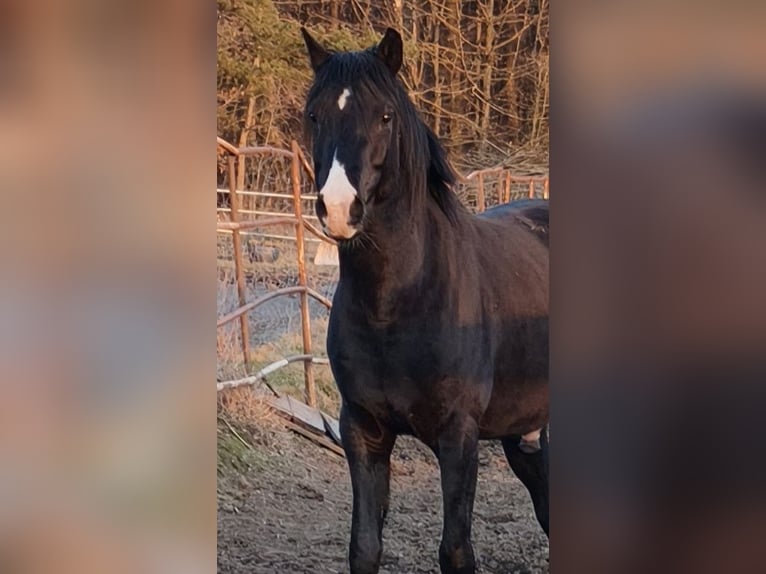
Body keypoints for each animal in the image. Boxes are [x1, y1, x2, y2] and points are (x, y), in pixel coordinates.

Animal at [300, 27, 549, 574]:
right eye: (313, 115)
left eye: (385, 116)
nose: (338, 209)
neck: (397, 305)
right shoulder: (363, 430)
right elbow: (364, 546)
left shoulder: (458, 437)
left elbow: (455, 550)